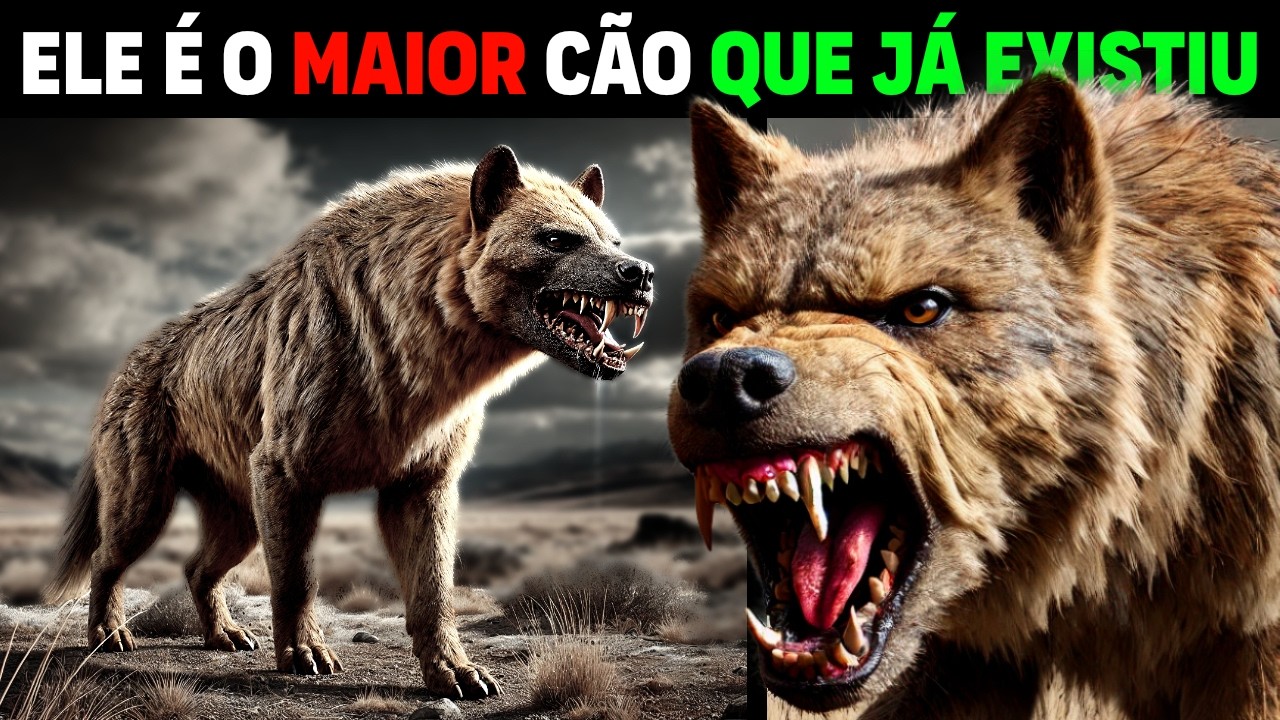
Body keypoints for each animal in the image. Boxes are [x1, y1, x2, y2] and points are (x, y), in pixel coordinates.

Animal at [46, 145, 654, 700]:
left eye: (612, 241)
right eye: (558, 239)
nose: (642, 273)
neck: (422, 367)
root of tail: (125, 365)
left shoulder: (421, 481)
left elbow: (433, 586)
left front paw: (457, 674)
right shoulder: (284, 471)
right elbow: (297, 577)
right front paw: (306, 656)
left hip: (237, 512)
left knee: (197, 566)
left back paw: (226, 636)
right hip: (147, 499)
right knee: (107, 555)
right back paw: (109, 635)